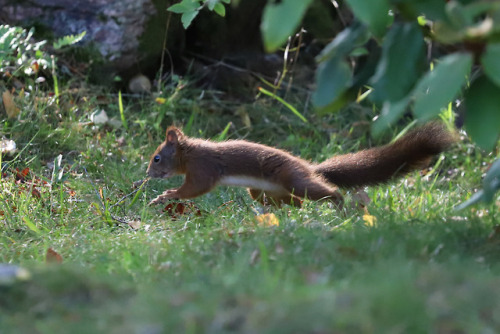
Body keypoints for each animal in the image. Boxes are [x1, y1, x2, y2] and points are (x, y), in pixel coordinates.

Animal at [146, 121, 456, 207]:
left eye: (157, 158)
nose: (148, 174)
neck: (190, 153)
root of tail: (310, 169)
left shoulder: (203, 168)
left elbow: (195, 188)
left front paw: (167, 195)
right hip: (270, 190)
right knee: (292, 202)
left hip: (294, 180)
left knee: (329, 192)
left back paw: (340, 207)